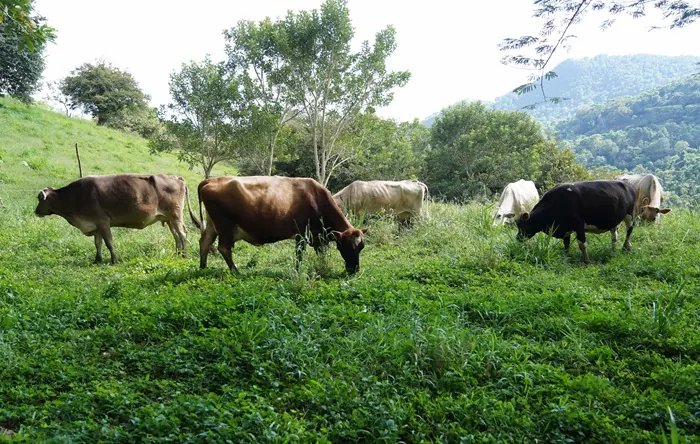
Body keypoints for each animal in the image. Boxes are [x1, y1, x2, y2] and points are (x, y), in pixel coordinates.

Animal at [34, 174, 201, 264]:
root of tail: (175, 177)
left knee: (182, 234)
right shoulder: (96, 225)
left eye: (39, 199)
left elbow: (109, 242)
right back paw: (178, 254)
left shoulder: (103, 221)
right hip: (170, 219)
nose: (35, 211)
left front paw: (114, 260)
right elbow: (98, 243)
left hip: (176, 216)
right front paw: (97, 259)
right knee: (176, 236)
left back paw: (185, 256)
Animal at [197, 176, 369, 274]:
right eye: (347, 247)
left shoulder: (317, 236)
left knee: (205, 242)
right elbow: (299, 254)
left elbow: (321, 253)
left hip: (213, 225)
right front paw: (297, 272)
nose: (354, 270)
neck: (316, 198)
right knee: (223, 248)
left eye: (361, 247)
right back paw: (235, 271)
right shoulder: (302, 233)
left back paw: (203, 267)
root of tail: (211, 180)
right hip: (224, 225)